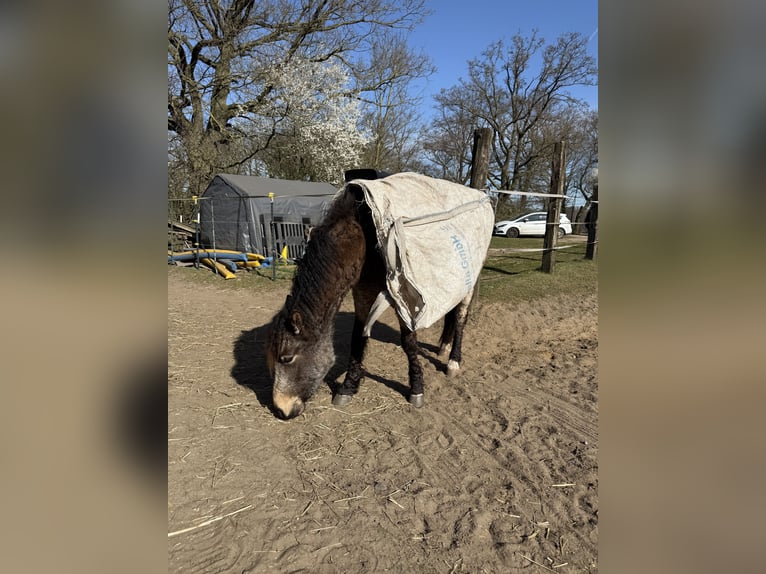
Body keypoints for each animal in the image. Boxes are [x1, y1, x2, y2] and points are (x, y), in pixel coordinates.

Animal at [265, 183, 476, 420]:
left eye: (287, 358)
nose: (281, 409)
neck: (365, 238)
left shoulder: (403, 297)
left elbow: (409, 343)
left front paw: (416, 389)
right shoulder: (362, 293)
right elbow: (358, 337)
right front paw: (348, 387)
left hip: (468, 284)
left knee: (460, 318)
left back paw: (453, 362)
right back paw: (443, 348)